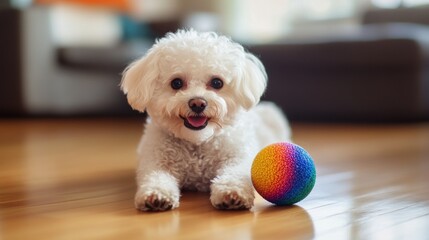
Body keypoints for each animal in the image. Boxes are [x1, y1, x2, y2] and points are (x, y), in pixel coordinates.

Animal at [118, 29, 290, 211]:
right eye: (176, 83)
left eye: (217, 82)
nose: (198, 103)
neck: (198, 143)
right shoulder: (155, 161)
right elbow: (155, 177)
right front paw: (156, 195)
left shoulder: (237, 158)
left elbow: (235, 174)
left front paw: (232, 193)